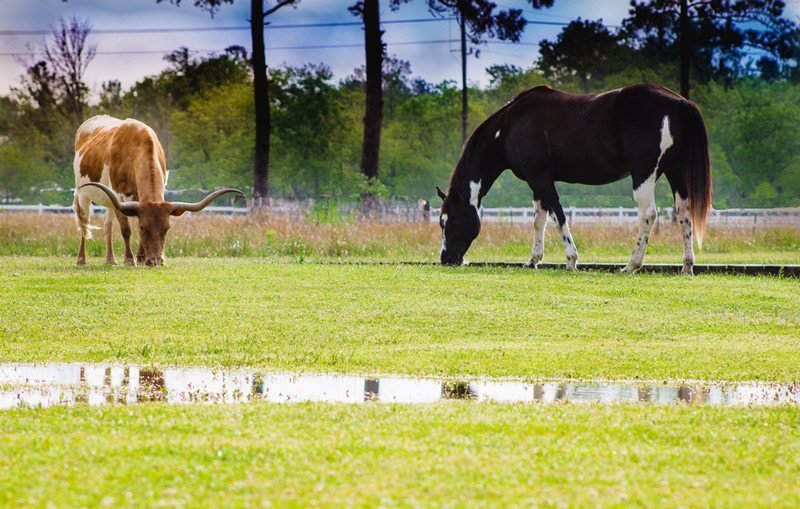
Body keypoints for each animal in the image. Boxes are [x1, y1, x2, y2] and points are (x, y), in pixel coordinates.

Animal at [438, 83, 712, 274]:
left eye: (447, 221)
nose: (446, 259)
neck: (509, 125)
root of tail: (679, 103)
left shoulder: (542, 180)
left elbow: (558, 216)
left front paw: (571, 260)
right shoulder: (536, 182)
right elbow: (539, 220)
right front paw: (533, 260)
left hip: (644, 175)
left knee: (648, 215)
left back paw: (631, 265)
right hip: (676, 173)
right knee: (684, 215)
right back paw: (687, 266)